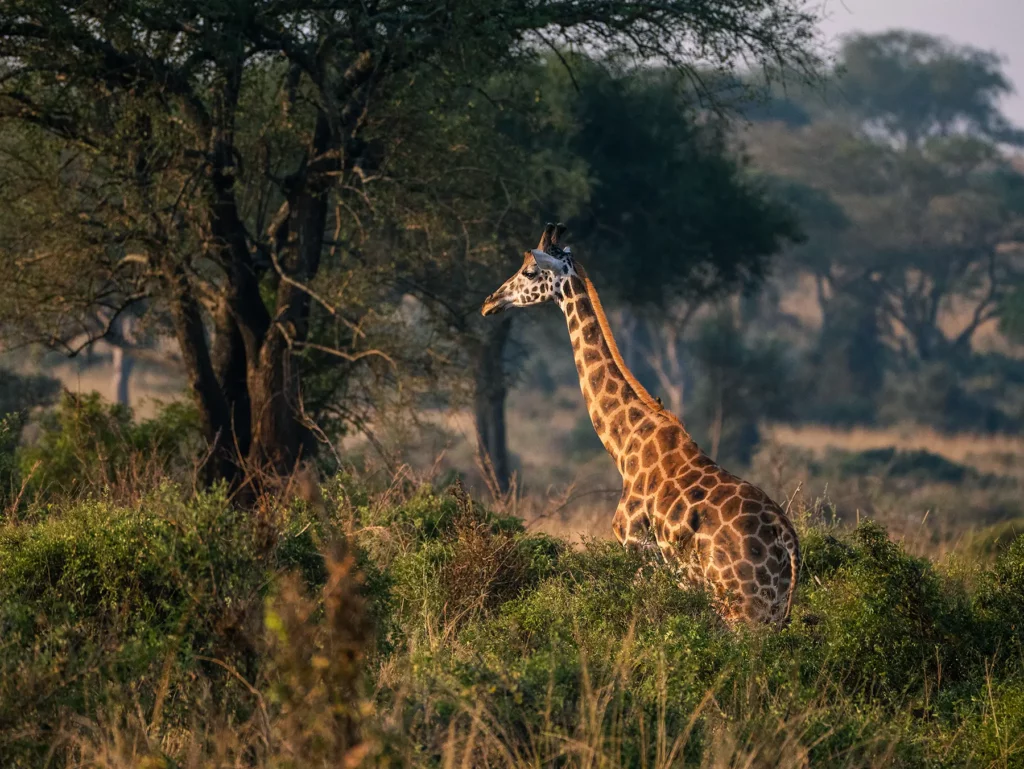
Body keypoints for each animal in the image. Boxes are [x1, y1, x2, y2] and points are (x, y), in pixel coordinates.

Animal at [481, 223, 800, 626]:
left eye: (529, 271)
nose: (489, 302)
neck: (624, 444)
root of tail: (788, 542)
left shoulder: (636, 546)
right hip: (771, 609)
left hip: (743, 607)